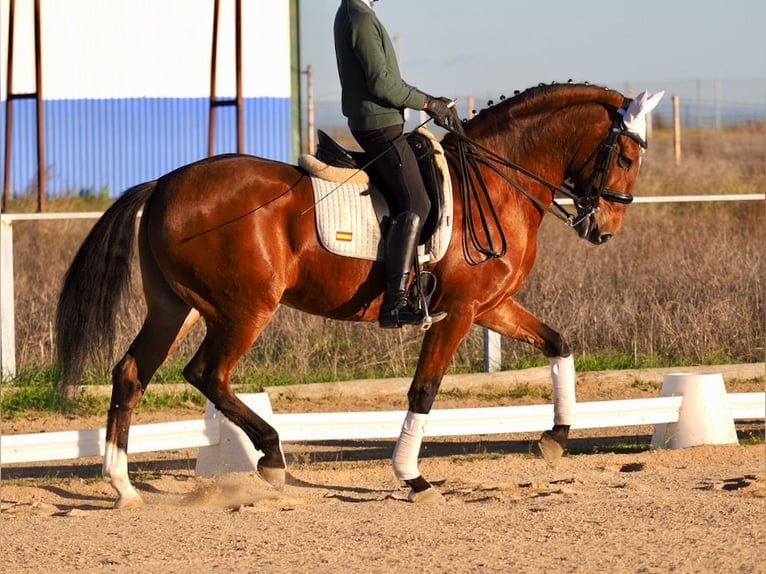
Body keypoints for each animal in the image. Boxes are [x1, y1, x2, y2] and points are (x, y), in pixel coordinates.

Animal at [57, 82, 664, 508]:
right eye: (627, 157)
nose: (604, 229)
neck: (494, 182)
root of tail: (164, 183)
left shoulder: (489, 306)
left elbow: (558, 344)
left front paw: (556, 436)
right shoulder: (459, 312)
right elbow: (423, 391)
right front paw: (413, 478)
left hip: (175, 307)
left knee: (131, 373)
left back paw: (123, 487)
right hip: (245, 308)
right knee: (207, 374)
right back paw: (271, 457)